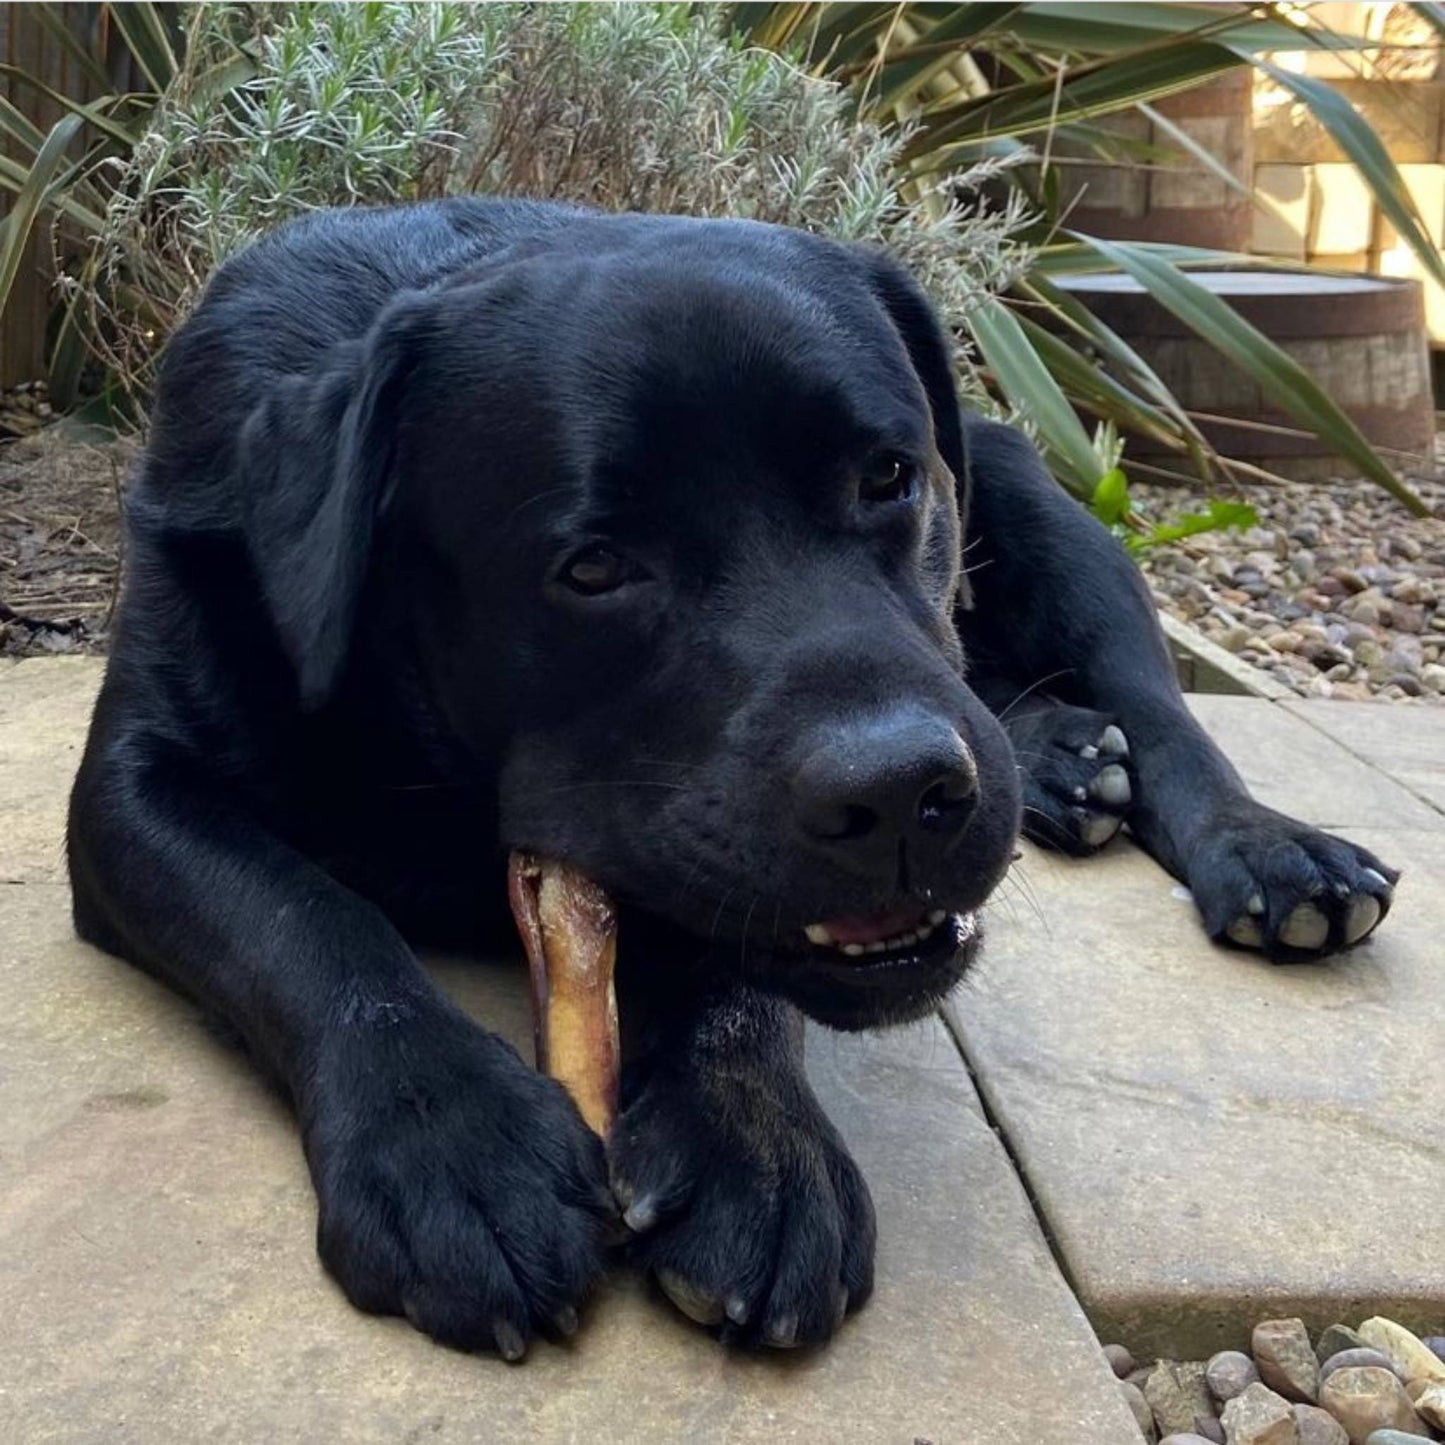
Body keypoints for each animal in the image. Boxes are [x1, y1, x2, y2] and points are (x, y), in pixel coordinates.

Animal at [70, 200, 1398, 1352]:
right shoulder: (132, 793)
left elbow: (739, 956)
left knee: (1154, 704)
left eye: (887, 477)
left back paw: (1267, 847)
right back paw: (1061, 760)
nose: (904, 795)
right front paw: (449, 1134)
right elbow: (300, 914)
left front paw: (751, 1139)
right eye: (593, 566)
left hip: (1043, 507)